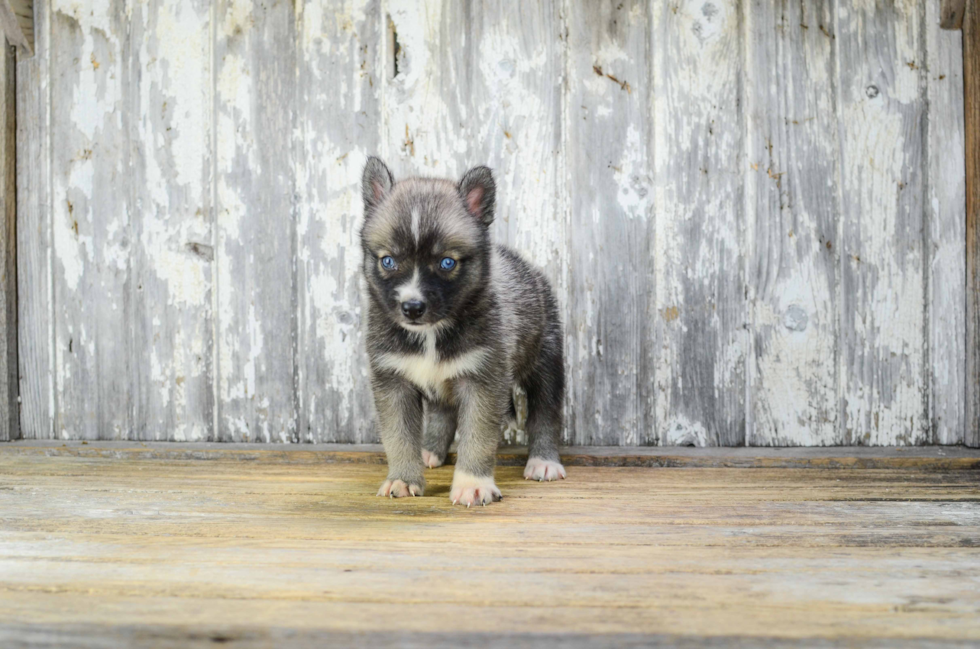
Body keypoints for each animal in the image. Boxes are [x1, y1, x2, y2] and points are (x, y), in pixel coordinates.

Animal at [360, 157, 568, 506]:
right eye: (388, 261)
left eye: (447, 263)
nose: (412, 307)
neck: (432, 332)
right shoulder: (393, 381)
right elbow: (398, 436)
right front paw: (403, 477)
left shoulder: (482, 380)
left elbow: (478, 437)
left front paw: (473, 483)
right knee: (442, 414)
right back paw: (429, 451)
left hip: (546, 360)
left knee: (546, 412)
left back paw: (543, 461)